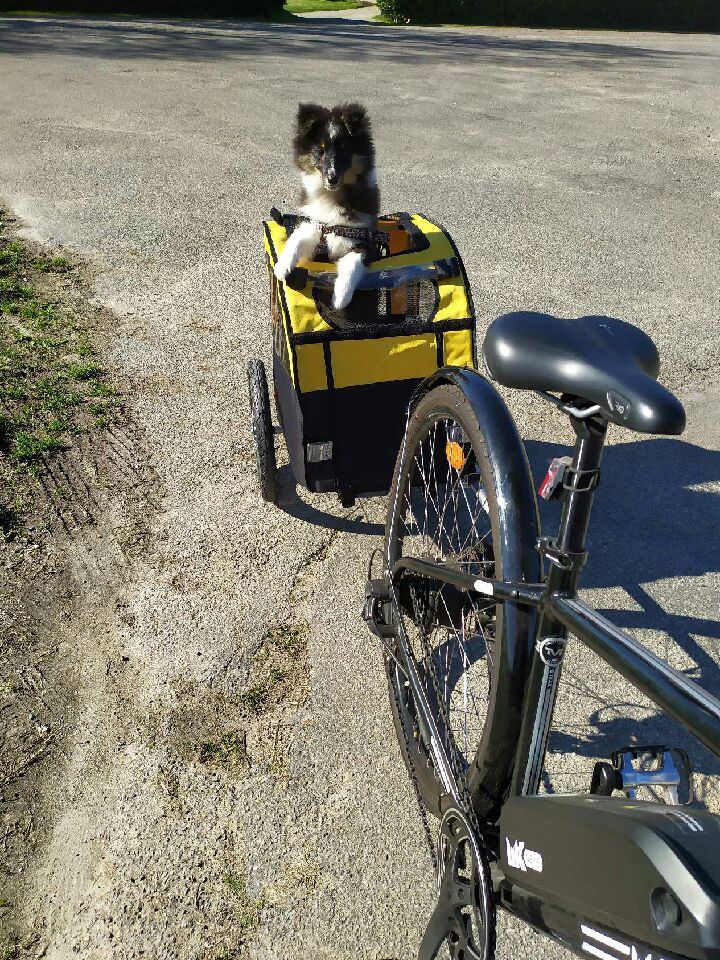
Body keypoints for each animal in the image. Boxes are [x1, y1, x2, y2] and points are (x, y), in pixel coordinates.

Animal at [272, 102, 380, 310]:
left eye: (344, 150)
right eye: (320, 151)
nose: (332, 178)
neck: (332, 196)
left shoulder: (367, 245)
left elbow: (353, 261)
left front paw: (340, 298)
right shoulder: (314, 225)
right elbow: (297, 237)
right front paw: (282, 266)